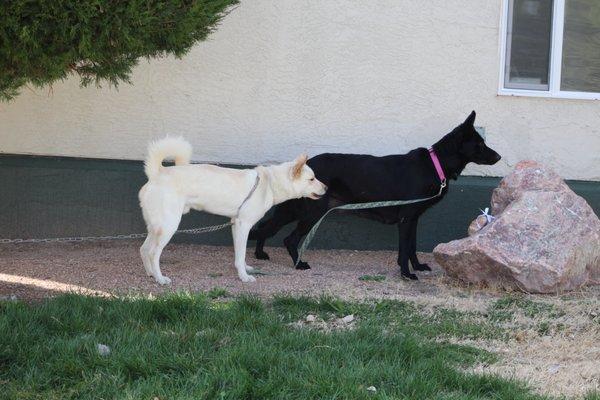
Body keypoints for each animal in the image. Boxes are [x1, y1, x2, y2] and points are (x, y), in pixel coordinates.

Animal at [138, 138, 326, 284]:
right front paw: (244, 277)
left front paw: (244, 270)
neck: (270, 183)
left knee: (144, 249)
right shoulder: (244, 225)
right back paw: (160, 278)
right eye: (311, 179)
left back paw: (151, 274)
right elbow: (241, 254)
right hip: (169, 226)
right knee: (153, 253)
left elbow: (239, 256)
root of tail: (156, 175)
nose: (326, 188)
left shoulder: (236, 225)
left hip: (156, 227)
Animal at [248, 111, 502, 280]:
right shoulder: (406, 219)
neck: (435, 164)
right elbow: (404, 249)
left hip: (294, 210)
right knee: (288, 239)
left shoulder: (413, 219)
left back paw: (260, 253)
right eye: (480, 144)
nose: (499, 157)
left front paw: (417, 267)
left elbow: (412, 247)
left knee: (265, 226)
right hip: (311, 212)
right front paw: (406, 274)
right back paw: (299, 264)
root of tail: (301, 168)